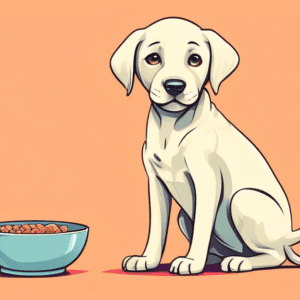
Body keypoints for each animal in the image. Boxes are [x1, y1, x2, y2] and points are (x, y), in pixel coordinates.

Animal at [110, 17, 300, 274]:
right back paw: (213, 258)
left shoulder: (206, 180)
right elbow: (157, 228)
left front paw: (191, 262)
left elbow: (202, 225)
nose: (174, 86)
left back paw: (241, 262)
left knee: (274, 254)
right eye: (153, 58)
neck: (172, 127)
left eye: (195, 59)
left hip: (244, 199)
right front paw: (147, 259)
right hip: (183, 217)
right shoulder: (155, 182)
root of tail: (286, 238)